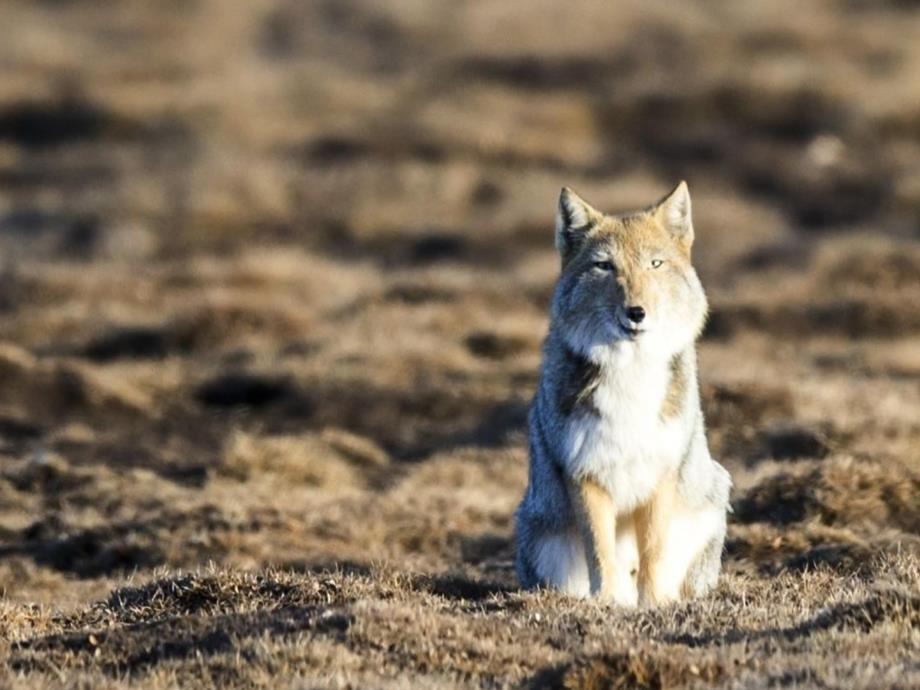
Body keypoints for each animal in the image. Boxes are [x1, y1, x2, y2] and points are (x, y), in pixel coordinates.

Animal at [512, 181, 728, 600]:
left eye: (655, 264)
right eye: (604, 266)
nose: (636, 312)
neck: (631, 376)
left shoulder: (661, 474)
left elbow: (653, 551)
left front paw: (654, 603)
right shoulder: (585, 474)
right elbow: (600, 551)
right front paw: (607, 602)